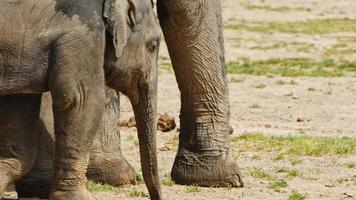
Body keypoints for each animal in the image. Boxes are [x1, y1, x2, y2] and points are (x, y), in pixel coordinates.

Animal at [0, 0, 161, 200]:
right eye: (153, 45)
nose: (154, 195)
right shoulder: (83, 34)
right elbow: (82, 100)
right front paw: (77, 197)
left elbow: (18, 105)